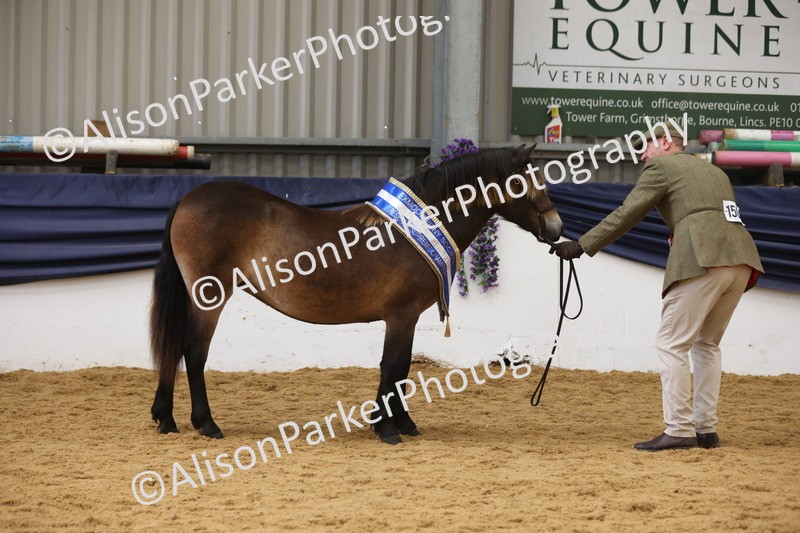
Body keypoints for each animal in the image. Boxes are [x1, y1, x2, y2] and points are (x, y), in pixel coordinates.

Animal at [149, 144, 564, 444]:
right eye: (526, 182)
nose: (556, 227)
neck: (416, 227)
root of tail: (188, 199)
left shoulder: (407, 318)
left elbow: (402, 368)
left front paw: (403, 422)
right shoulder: (401, 315)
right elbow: (393, 365)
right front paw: (388, 429)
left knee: (175, 348)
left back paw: (165, 418)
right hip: (210, 297)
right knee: (193, 352)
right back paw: (206, 424)